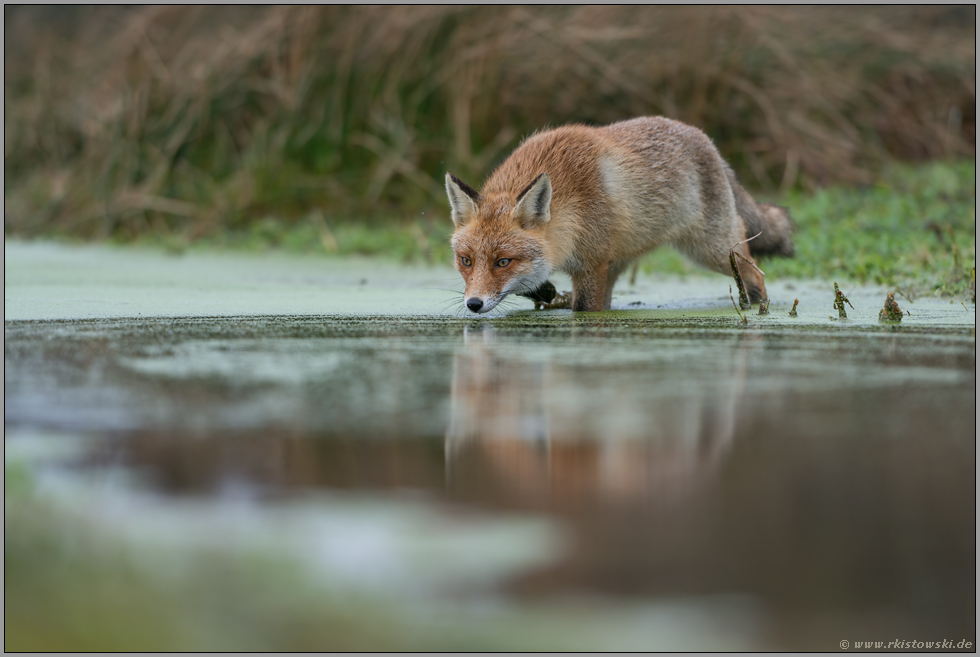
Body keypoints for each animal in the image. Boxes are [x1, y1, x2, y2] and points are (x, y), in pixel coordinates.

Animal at [448, 115, 792, 312]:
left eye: (503, 262)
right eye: (466, 261)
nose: (473, 304)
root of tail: (707, 141)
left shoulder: (591, 267)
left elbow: (584, 312)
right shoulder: (598, 266)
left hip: (711, 250)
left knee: (755, 273)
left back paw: (756, 309)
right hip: (620, 263)